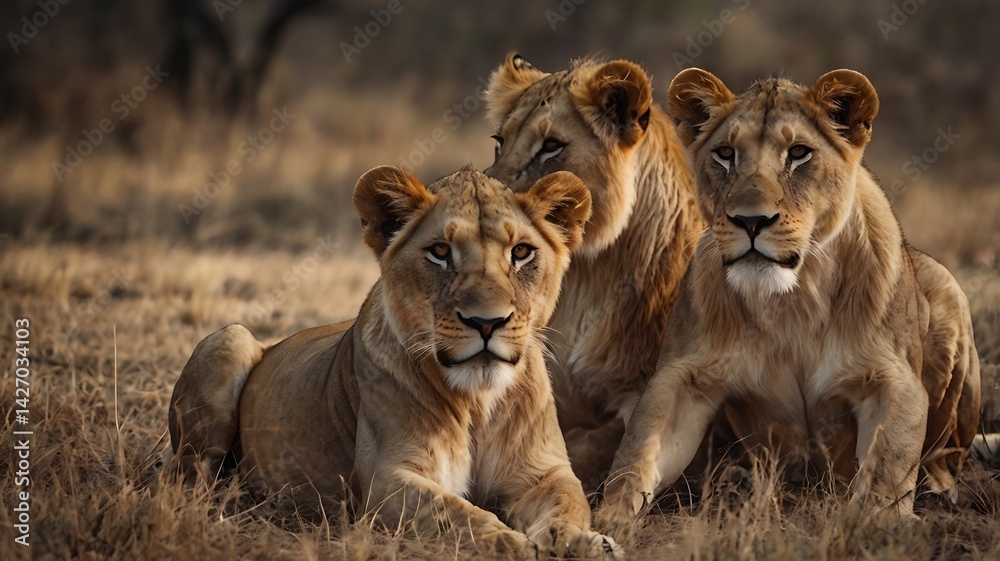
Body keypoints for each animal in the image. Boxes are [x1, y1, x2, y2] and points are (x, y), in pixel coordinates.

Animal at [162, 166, 621, 559]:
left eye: (521, 252)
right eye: (440, 252)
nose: (487, 322)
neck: (477, 402)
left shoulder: (544, 473)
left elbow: (570, 506)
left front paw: (585, 542)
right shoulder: (388, 482)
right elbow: (464, 517)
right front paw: (518, 546)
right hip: (230, 339)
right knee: (187, 482)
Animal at [594, 68, 981, 530]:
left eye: (798, 153)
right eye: (725, 154)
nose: (750, 221)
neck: (793, 298)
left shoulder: (895, 379)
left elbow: (888, 463)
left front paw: (878, 526)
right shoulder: (684, 378)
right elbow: (636, 454)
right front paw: (601, 521)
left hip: (948, 290)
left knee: (946, 453)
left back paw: (941, 491)